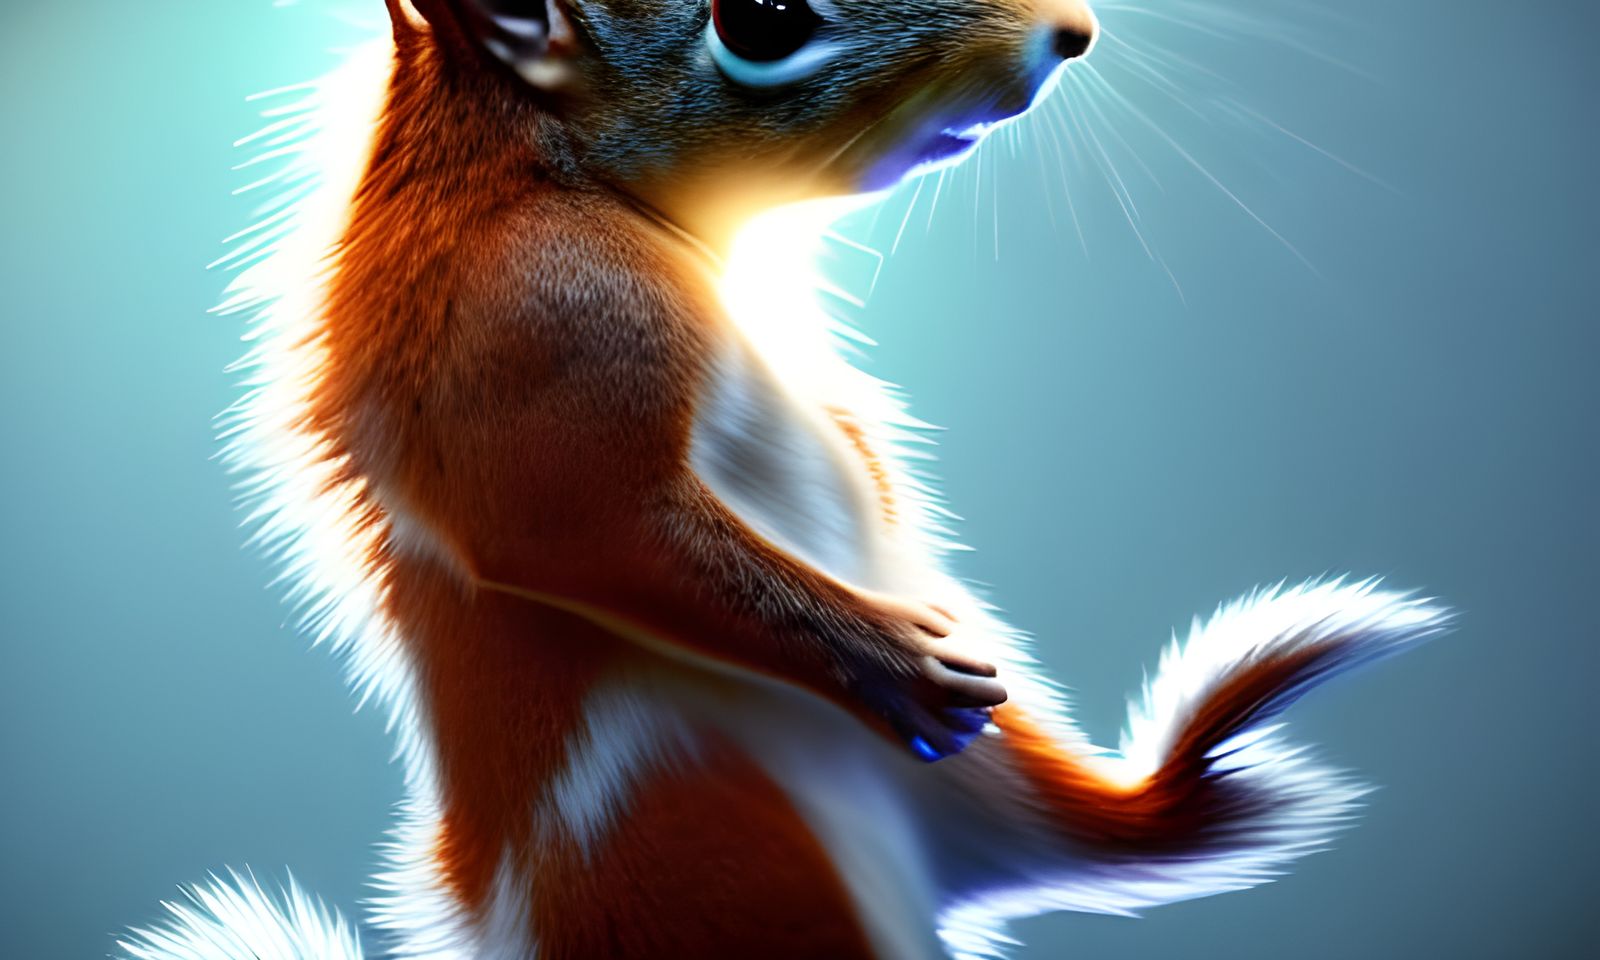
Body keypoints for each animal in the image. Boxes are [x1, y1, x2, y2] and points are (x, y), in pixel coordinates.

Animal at [118, 1, 1448, 958]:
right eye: (760, 18)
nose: (1068, 32)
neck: (547, 169)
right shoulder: (544, 325)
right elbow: (579, 524)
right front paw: (898, 663)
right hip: (728, 855)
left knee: (1114, 830)